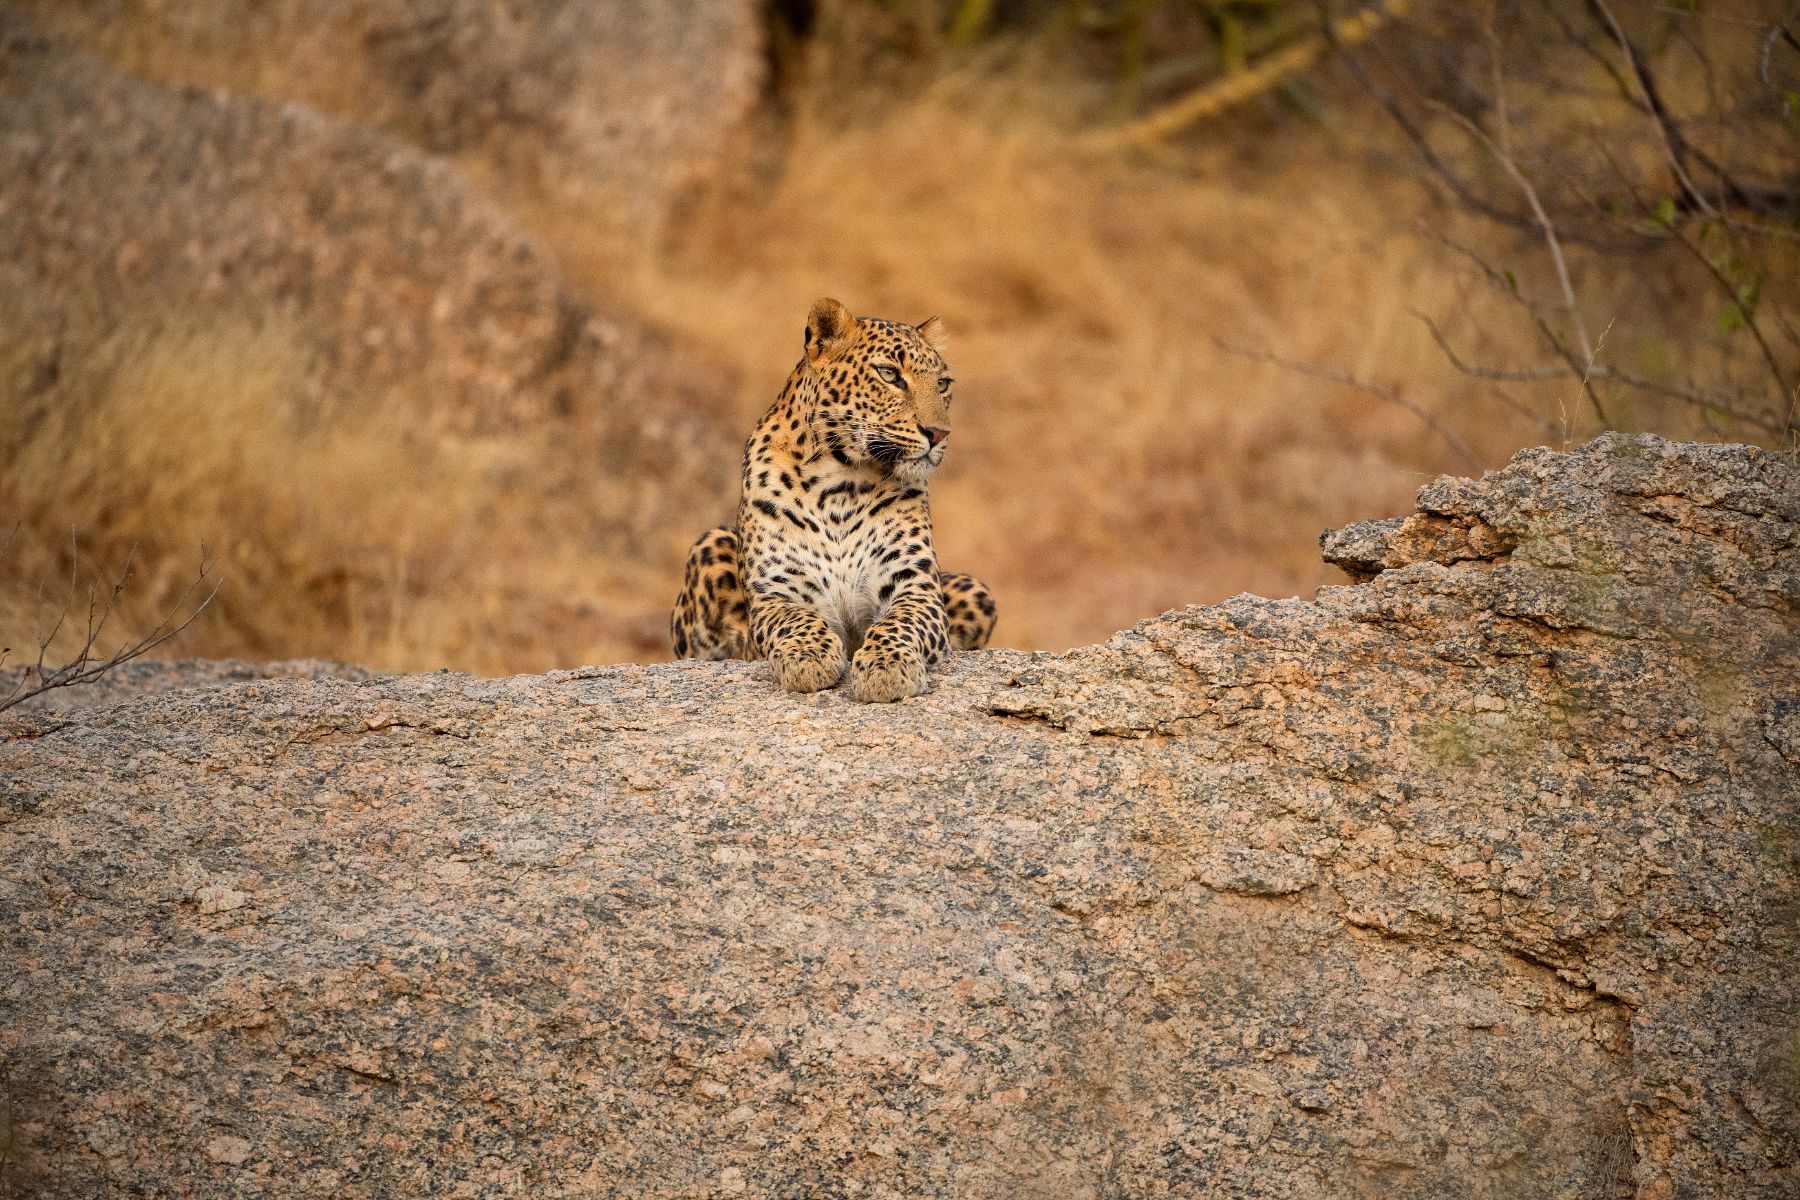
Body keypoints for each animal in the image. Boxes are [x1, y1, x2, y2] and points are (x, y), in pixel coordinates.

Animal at [670, 297, 996, 702]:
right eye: (890, 374)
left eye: (942, 384)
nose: (939, 434)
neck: (841, 484)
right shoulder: (776, 592)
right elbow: (795, 620)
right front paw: (808, 657)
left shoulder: (916, 586)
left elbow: (899, 623)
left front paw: (887, 667)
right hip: (710, 544)